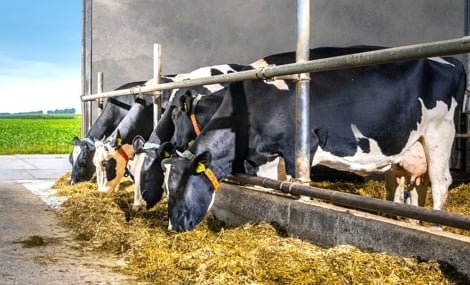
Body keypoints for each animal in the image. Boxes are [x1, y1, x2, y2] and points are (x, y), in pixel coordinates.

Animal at [162, 45, 466, 230]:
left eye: (178, 188)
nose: (174, 226)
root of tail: (450, 60)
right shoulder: (263, 156)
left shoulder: (299, 147)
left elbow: (293, 186)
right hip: (414, 146)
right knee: (415, 183)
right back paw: (411, 221)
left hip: (440, 132)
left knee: (440, 181)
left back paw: (436, 224)